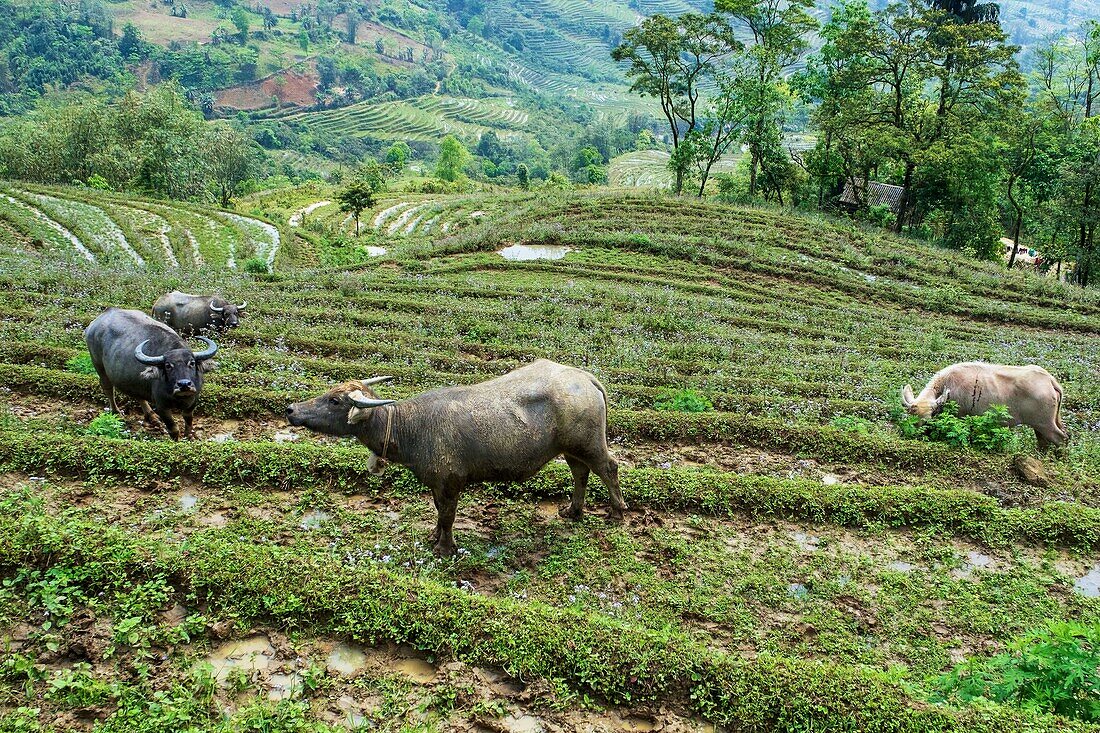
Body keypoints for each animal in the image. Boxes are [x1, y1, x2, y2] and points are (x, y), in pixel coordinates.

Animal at [84, 305, 217, 435]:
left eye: (192, 363)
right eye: (168, 366)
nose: (184, 384)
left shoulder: (194, 399)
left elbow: (188, 419)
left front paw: (190, 436)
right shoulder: (161, 406)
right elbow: (173, 429)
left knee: (138, 394)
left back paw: (152, 417)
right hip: (98, 366)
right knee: (108, 389)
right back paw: (117, 412)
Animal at [283, 358, 629, 554]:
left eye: (335, 401)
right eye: (330, 392)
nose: (291, 409)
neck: (412, 426)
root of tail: (585, 378)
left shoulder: (451, 482)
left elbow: (449, 515)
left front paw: (445, 548)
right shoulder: (437, 484)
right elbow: (439, 512)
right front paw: (434, 536)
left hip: (590, 444)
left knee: (608, 468)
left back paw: (617, 512)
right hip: (570, 449)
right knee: (580, 473)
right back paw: (573, 511)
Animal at [902, 358, 1064, 444]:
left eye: (928, 420)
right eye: (911, 418)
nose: (915, 435)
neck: (949, 386)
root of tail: (1049, 379)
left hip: (1045, 424)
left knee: (1060, 438)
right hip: (1042, 425)